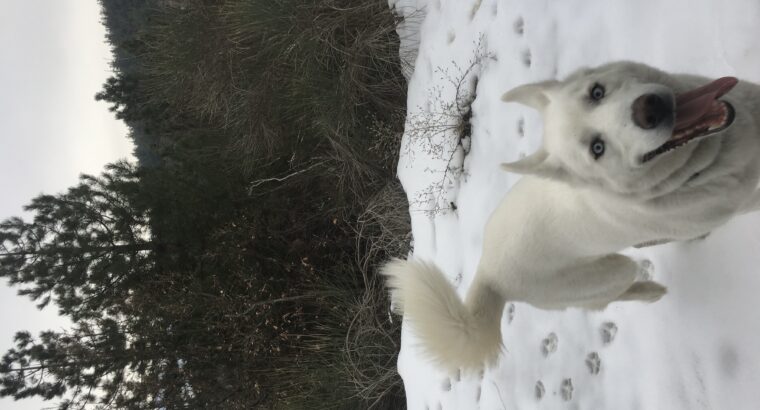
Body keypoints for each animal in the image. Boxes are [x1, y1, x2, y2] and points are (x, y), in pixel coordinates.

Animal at [382, 60, 760, 372]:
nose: (649, 109)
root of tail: (488, 273)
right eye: (597, 149)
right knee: (609, 298)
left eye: (597, 92)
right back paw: (650, 290)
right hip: (610, 271)